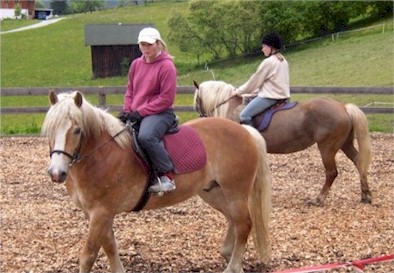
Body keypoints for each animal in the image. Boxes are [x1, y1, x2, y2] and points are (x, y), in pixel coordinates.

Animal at [41, 91, 272, 272]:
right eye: (50, 130)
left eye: (77, 130)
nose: (56, 173)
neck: (102, 155)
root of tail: (244, 131)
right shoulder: (98, 214)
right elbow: (110, 247)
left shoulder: (101, 213)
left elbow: (88, 256)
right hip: (213, 192)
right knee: (234, 220)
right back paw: (228, 253)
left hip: (236, 192)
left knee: (244, 224)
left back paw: (233, 266)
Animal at [194, 79, 372, 205]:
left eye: (196, 101)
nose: (200, 117)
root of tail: (343, 107)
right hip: (345, 144)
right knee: (359, 162)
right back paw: (365, 195)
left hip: (327, 148)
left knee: (331, 172)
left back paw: (319, 199)